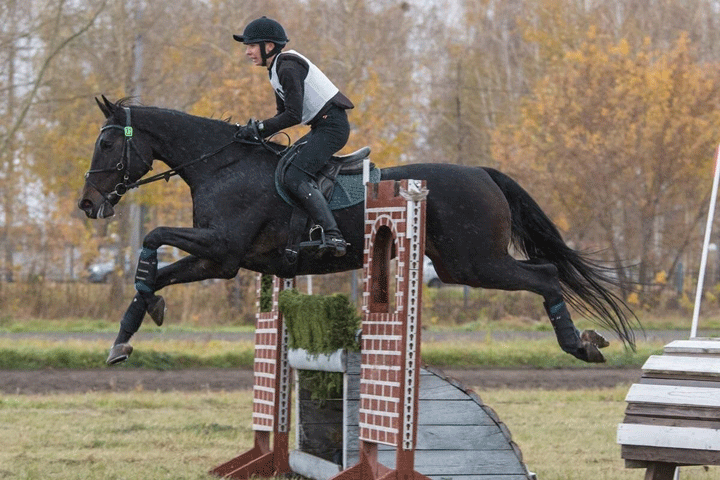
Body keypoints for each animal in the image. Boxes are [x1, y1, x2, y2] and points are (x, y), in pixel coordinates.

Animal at [80, 98, 636, 368]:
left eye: (107, 144)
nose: (88, 204)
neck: (221, 165)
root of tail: (482, 172)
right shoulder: (221, 261)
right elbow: (154, 275)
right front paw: (126, 337)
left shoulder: (223, 250)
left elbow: (152, 236)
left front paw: (146, 304)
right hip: (461, 265)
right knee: (546, 272)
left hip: (476, 262)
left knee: (545, 275)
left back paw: (579, 345)